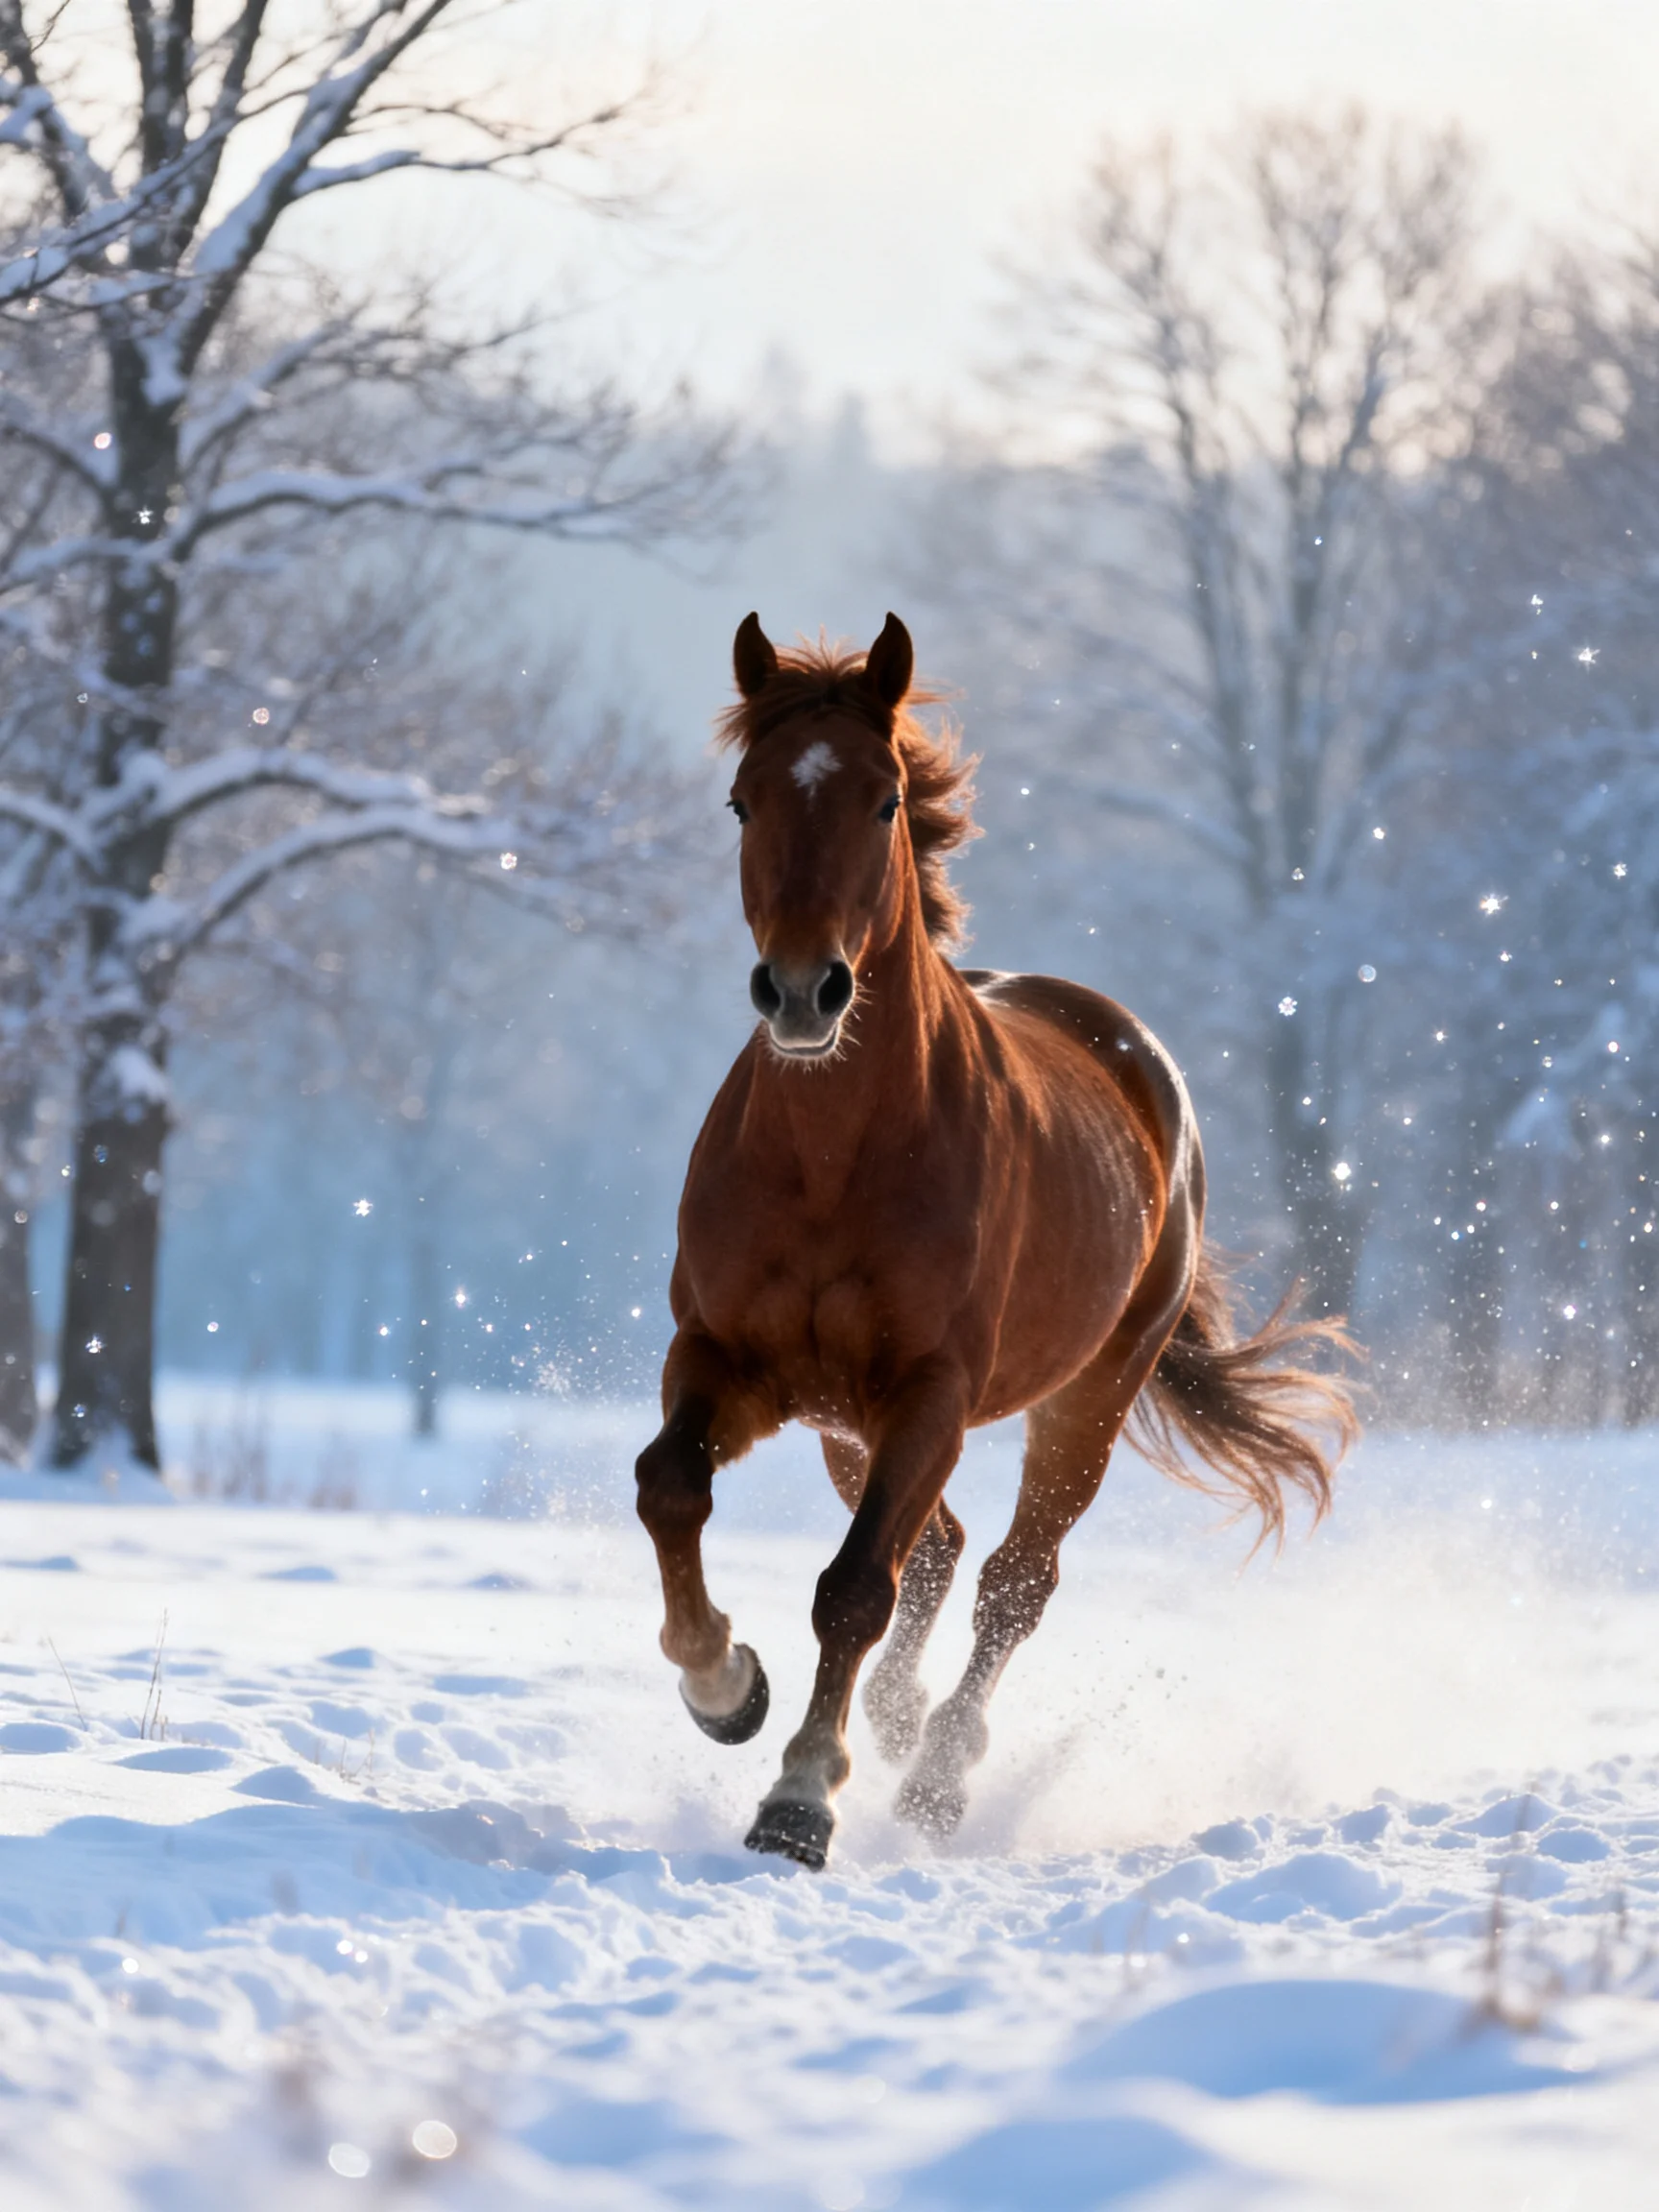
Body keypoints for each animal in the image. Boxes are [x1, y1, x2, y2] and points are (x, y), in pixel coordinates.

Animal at [635, 612, 1356, 1870]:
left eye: (882, 800)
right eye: (741, 800)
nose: (802, 994)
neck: (833, 1159)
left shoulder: (930, 1391)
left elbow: (852, 1590)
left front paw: (799, 1801)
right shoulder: (727, 1361)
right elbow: (670, 1486)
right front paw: (726, 1687)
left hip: (1088, 1396)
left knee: (1014, 1576)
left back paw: (935, 1775)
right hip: (845, 1426)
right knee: (942, 1549)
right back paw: (896, 1721)